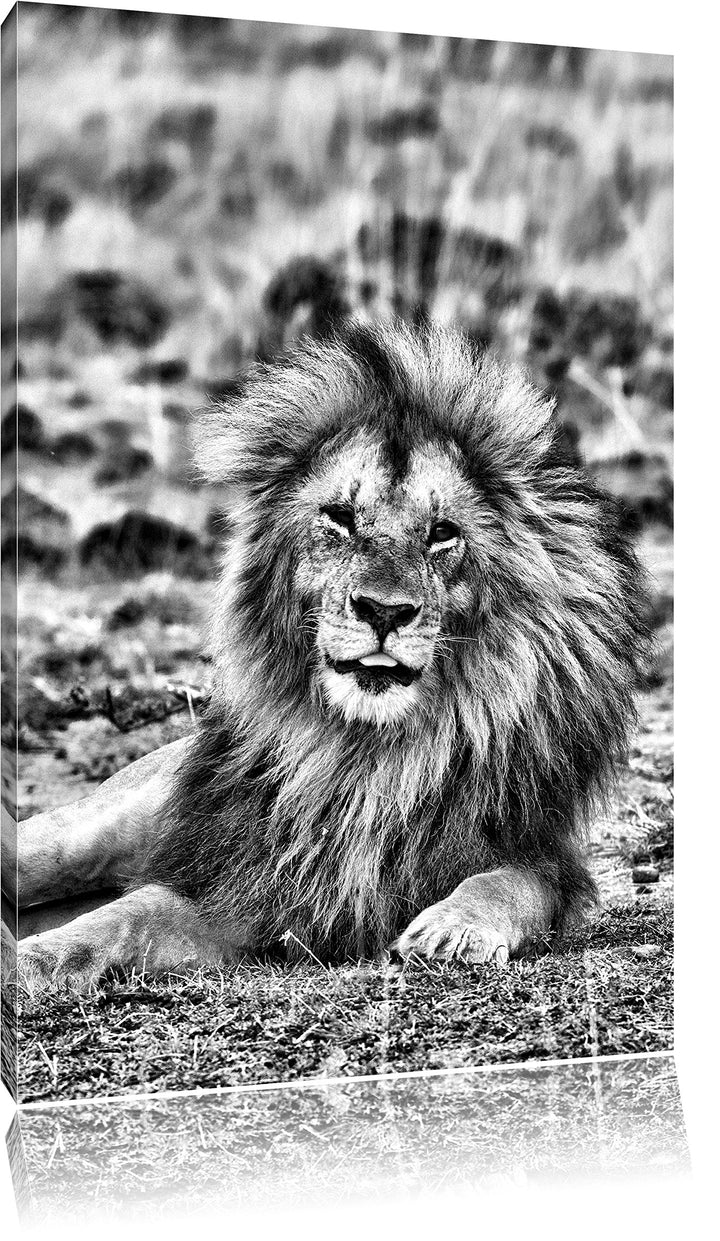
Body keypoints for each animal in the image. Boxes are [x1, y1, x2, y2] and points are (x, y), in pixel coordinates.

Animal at [13, 320, 647, 989]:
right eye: (340, 517)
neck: (368, 755)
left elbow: (509, 884)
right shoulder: (253, 878)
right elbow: (121, 917)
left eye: (442, 533)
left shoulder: (541, 851)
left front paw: (452, 932)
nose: (384, 611)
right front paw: (31, 961)